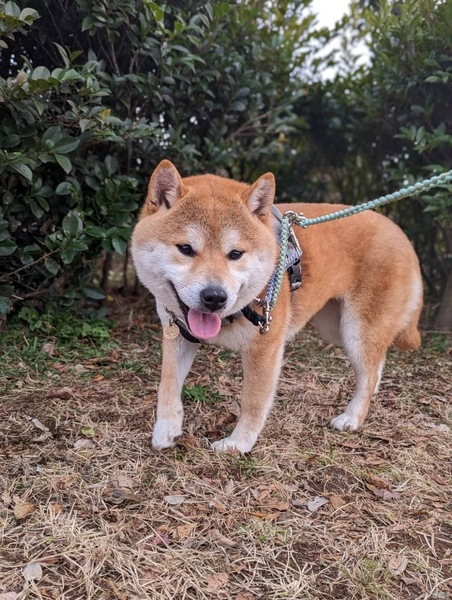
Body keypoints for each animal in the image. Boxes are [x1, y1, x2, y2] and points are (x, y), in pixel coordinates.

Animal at [131, 160, 422, 453]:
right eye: (185, 248)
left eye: (235, 254)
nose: (214, 297)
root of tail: (402, 236)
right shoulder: (177, 335)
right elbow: (167, 385)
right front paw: (166, 429)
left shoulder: (265, 346)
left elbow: (253, 401)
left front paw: (238, 444)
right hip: (335, 328)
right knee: (375, 363)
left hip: (356, 330)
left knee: (368, 371)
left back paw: (352, 417)